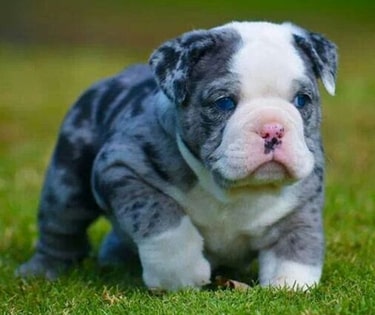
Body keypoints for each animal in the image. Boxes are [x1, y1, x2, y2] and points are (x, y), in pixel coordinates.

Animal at [17, 21, 340, 292]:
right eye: (224, 102)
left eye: (302, 100)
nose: (273, 129)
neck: (231, 189)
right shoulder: (122, 169)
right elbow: (161, 217)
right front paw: (180, 273)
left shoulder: (303, 200)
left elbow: (297, 240)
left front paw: (290, 285)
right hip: (67, 183)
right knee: (60, 228)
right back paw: (42, 271)